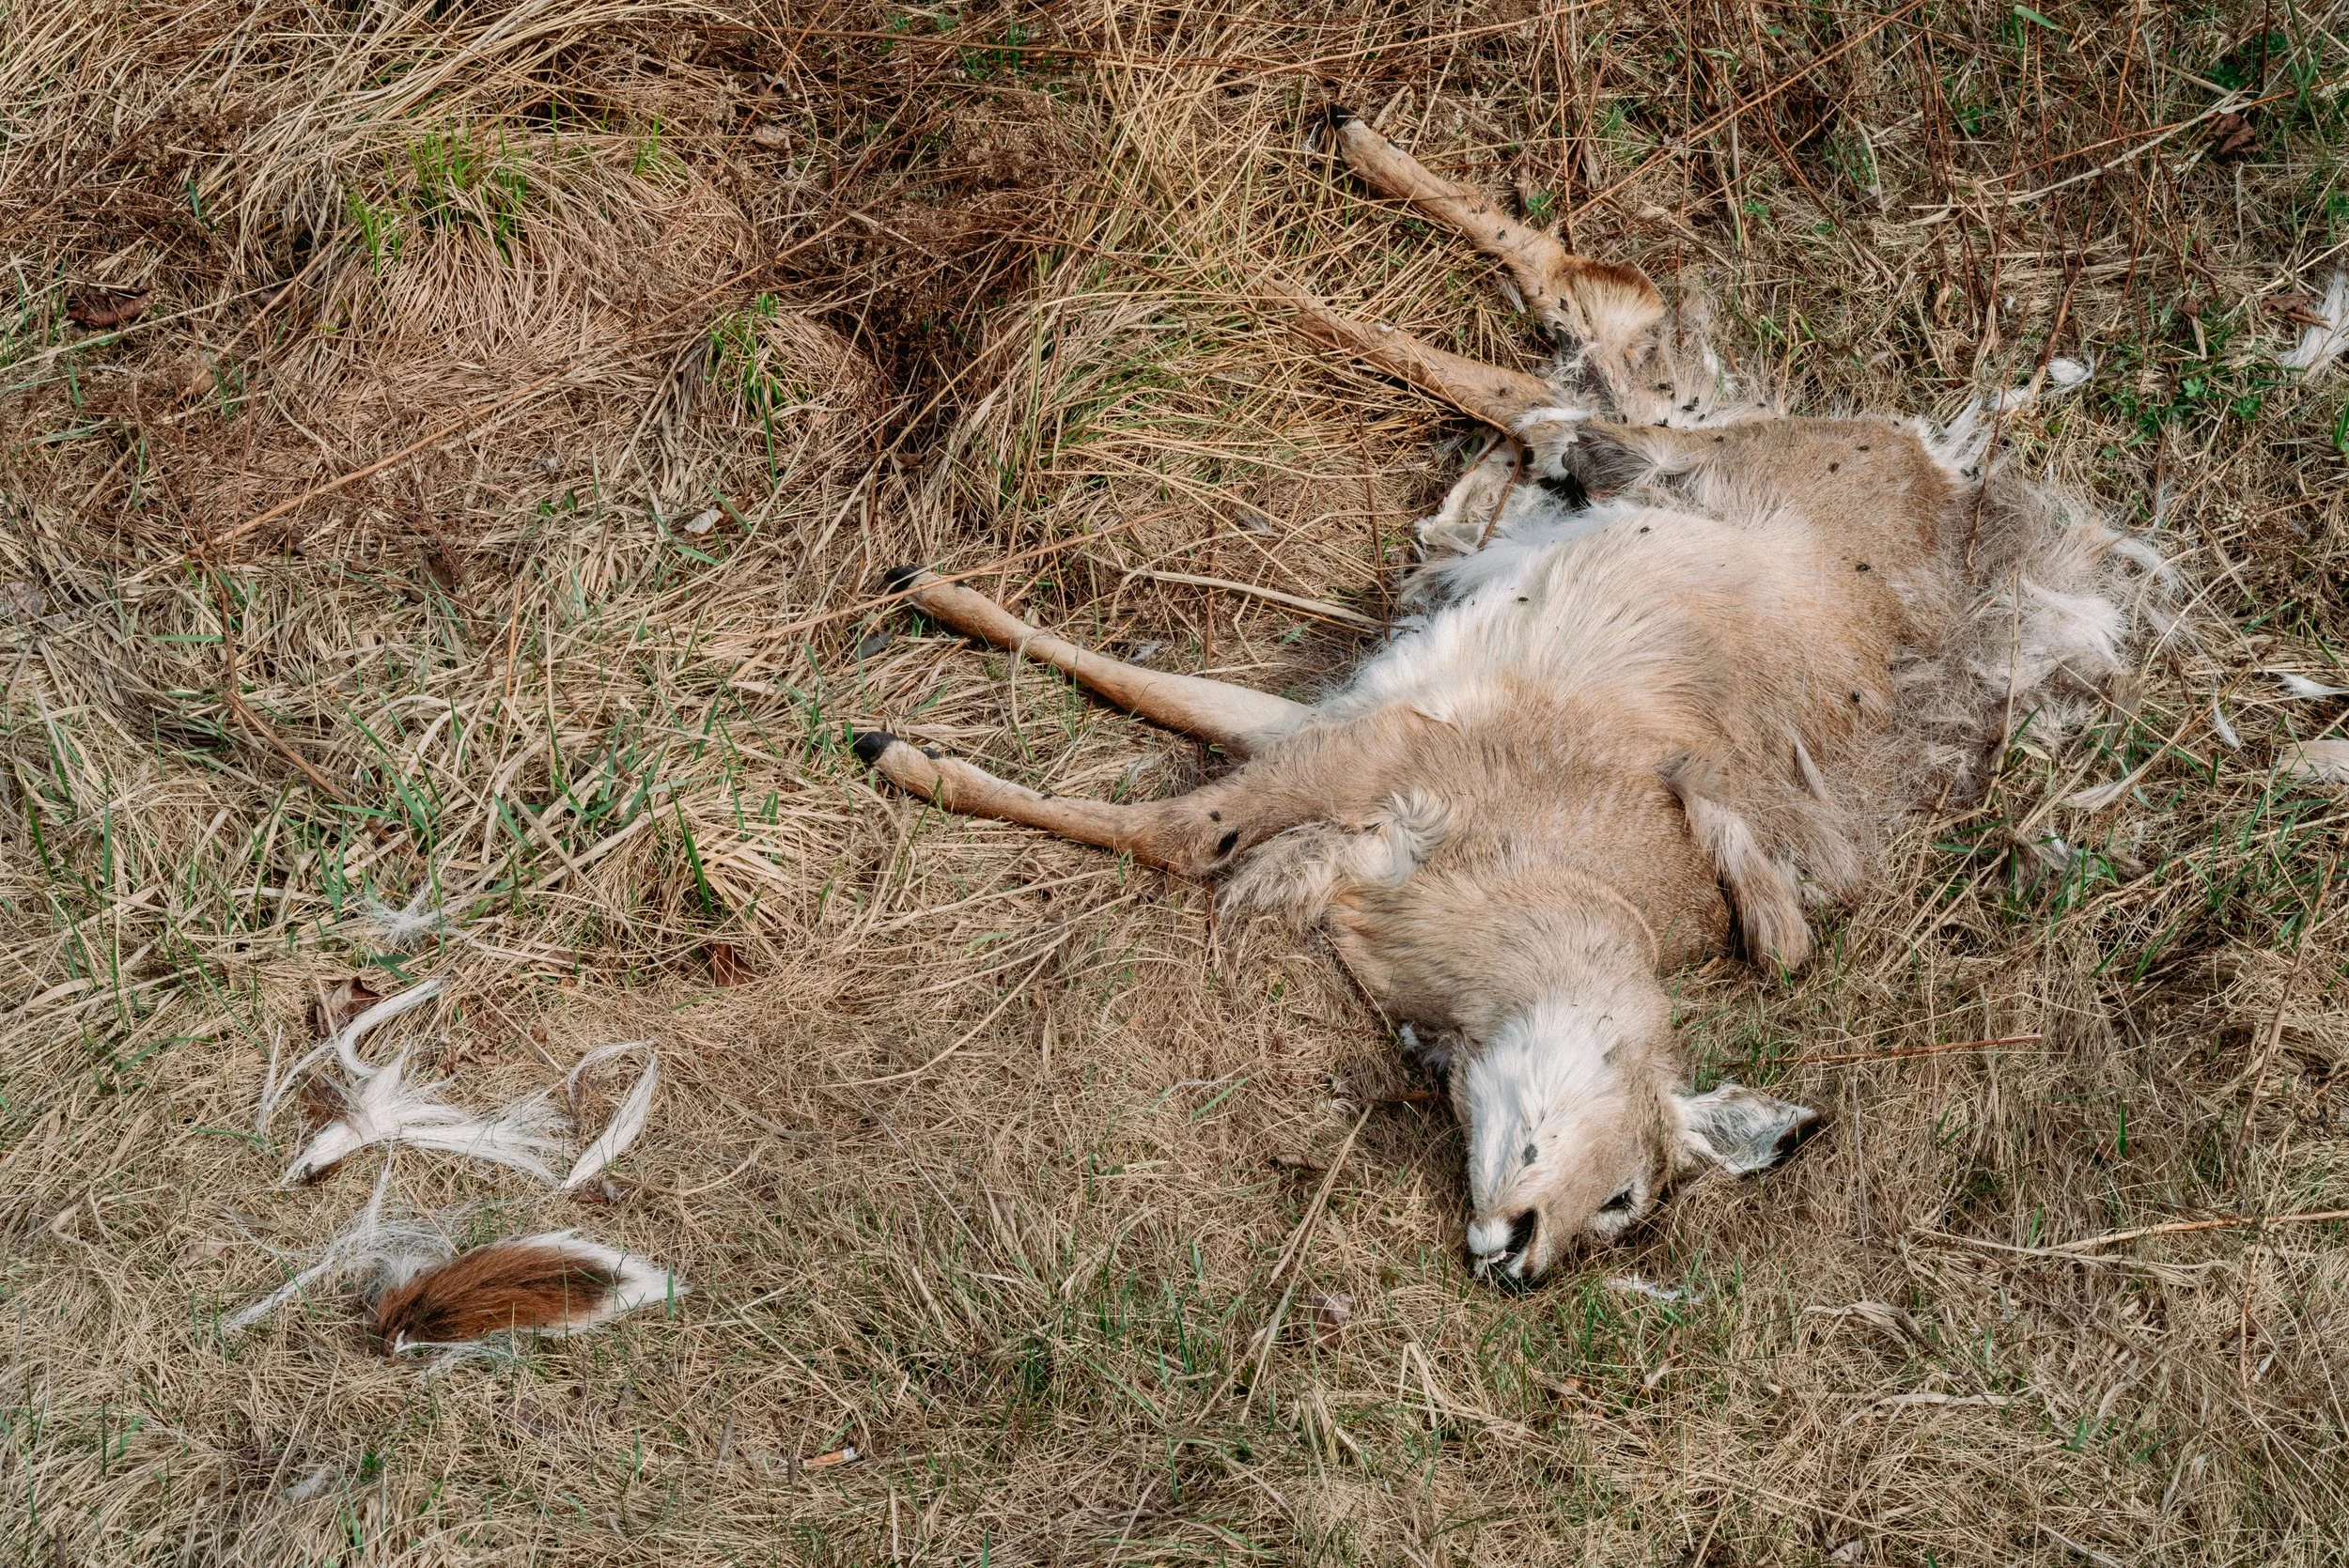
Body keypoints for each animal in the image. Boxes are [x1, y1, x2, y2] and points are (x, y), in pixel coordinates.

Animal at [852, 109, 2162, 1284]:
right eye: (1628, 1189)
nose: (1526, 1258)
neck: (1544, 879)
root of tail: (1946, 484)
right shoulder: (1391, 741)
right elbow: (1176, 830)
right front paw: (902, 750)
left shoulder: (1347, 723)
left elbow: (1171, 706)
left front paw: (926, 634)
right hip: (1669, 447)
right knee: (1564, 341)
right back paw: (1280, 233)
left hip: (1626, 445)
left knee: (1533, 365)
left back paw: (1318, 187)